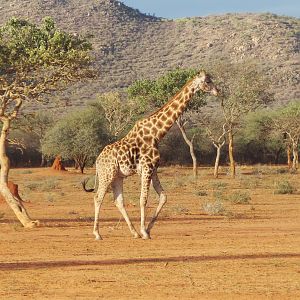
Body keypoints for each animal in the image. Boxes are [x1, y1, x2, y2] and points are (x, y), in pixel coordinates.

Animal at [82, 69, 218, 239]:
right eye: (207, 81)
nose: (217, 91)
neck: (156, 134)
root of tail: (97, 160)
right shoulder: (146, 168)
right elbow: (143, 199)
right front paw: (144, 231)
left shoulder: (153, 169)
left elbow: (163, 197)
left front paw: (147, 229)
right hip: (107, 174)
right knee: (98, 197)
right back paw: (97, 233)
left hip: (118, 176)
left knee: (118, 201)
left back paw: (133, 232)